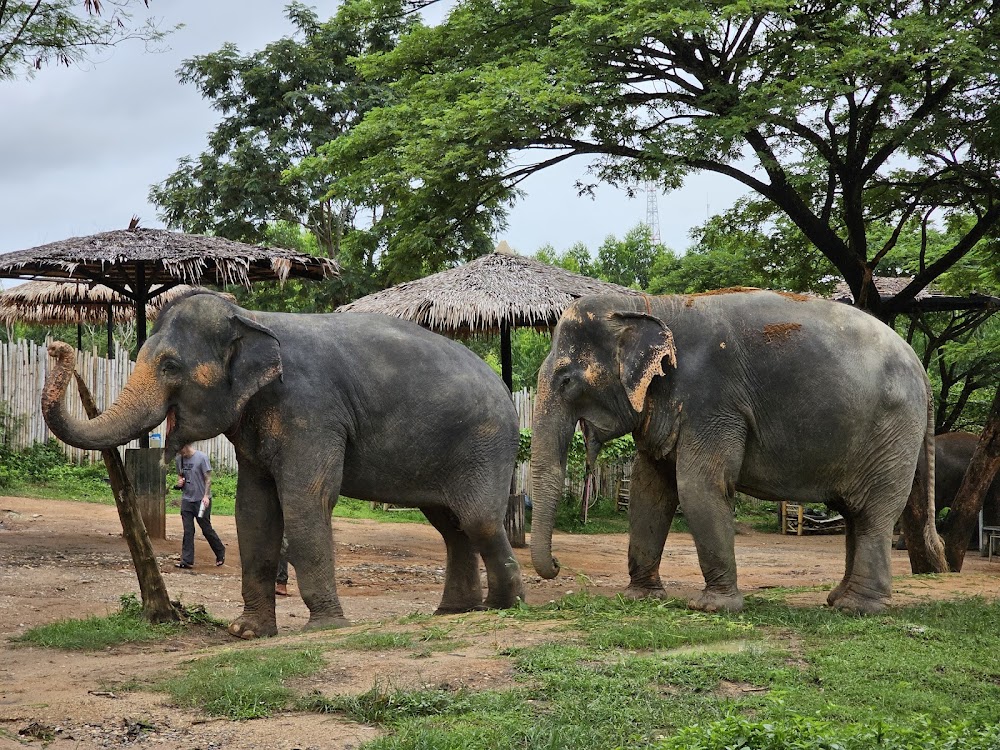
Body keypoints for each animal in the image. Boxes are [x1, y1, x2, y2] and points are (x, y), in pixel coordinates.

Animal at [42, 290, 525, 638]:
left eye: (171, 366)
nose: (58, 347)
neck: (251, 316)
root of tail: (506, 389)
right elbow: (254, 508)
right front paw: (246, 632)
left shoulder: (311, 409)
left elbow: (305, 498)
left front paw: (325, 627)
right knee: (451, 525)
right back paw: (453, 612)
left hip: (486, 443)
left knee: (478, 520)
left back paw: (505, 606)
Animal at [530, 289, 945, 615]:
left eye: (566, 380)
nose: (558, 563)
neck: (648, 304)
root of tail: (922, 369)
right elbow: (649, 490)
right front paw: (639, 598)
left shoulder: (713, 399)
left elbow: (698, 486)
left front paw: (711, 607)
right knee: (855, 515)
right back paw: (836, 598)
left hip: (893, 434)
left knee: (874, 514)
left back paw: (857, 608)